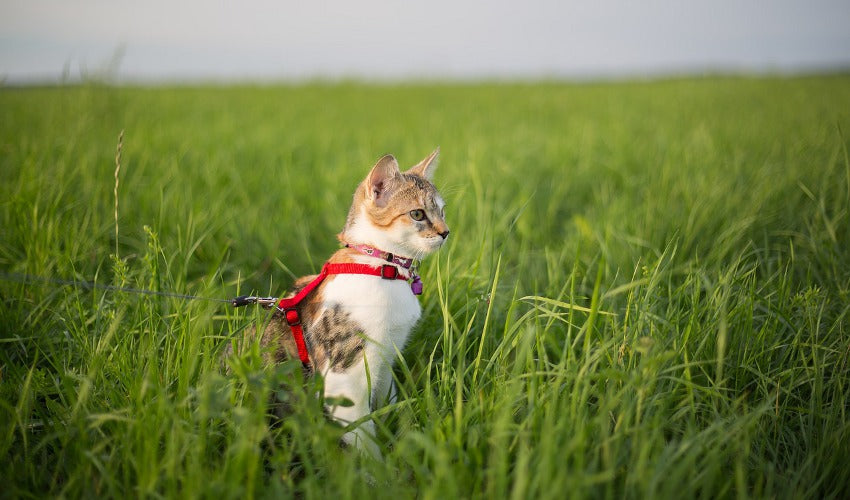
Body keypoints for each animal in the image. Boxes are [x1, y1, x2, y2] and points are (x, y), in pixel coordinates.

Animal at [225, 150, 450, 458]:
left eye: (442, 211)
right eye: (418, 214)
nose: (446, 232)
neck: (380, 266)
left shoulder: (386, 358)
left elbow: (386, 402)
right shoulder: (344, 375)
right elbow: (362, 434)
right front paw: (378, 468)